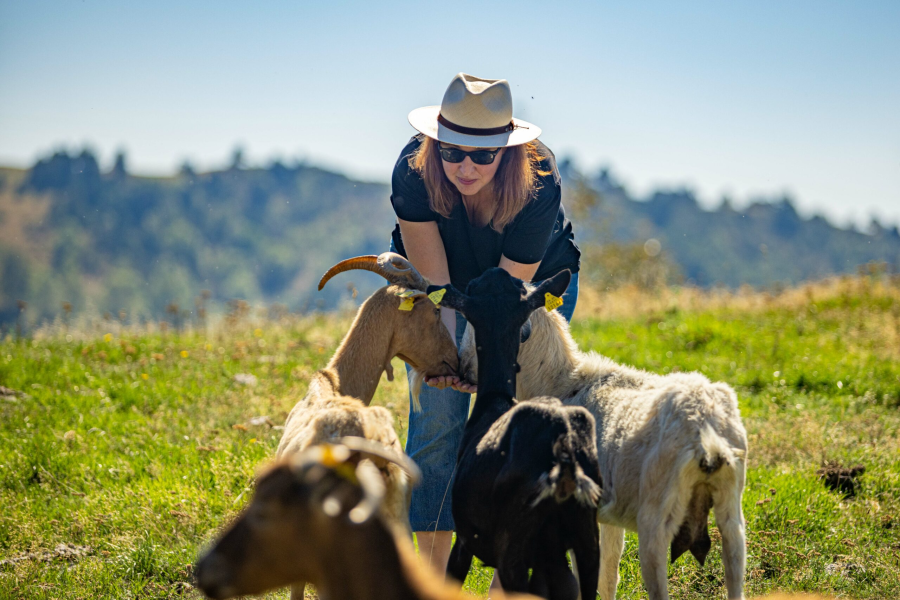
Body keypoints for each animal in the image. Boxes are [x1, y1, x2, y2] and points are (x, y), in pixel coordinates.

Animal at [460, 304, 748, 600]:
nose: (462, 370)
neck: (558, 384)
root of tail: (704, 425)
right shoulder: (610, 510)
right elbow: (608, 573)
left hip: (656, 515)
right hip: (731, 510)